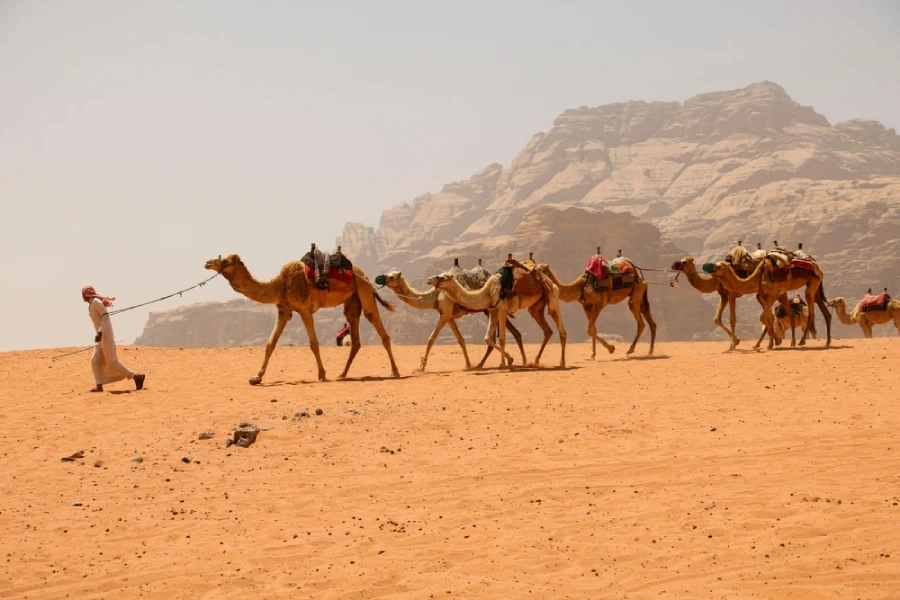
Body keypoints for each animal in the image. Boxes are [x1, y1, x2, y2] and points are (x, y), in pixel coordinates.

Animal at [209, 253, 400, 384]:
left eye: (225, 261)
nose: (208, 263)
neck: (279, 285)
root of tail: (365, 276)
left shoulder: (304, 309)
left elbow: (313, 343)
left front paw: (322, 375)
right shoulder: (284, 311)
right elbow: (270, 343)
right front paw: (256, 377)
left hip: (364, 290)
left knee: (379, 328)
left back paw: (395, 372)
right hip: (352, 302)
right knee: (355, 339)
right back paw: (342, 374)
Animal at [374, 270, 528, 370]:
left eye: (391, 276)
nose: (378, 278)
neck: (435, 296)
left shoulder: (445, 314)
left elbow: (431, 339)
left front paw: (421, 367)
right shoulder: (449, 317)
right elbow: (461, 340)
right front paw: (468, 364)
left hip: (491, 310)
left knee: (509, 334)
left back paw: (514, 361)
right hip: (491, 311)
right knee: (513, 333)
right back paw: (485, 364)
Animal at [428, 264, 568, 368]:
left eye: (442, 277)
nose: (429, 279)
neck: (488, 292)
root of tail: (551, 282)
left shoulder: (502, 311)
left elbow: (501, 339)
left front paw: (503, 364)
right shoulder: (493, 312)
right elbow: (487, 338)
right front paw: (509, 360)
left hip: (552, 297)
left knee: (562, 330)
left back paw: (562, 363)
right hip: (537, 307)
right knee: (547, 330)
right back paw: (535, 361)